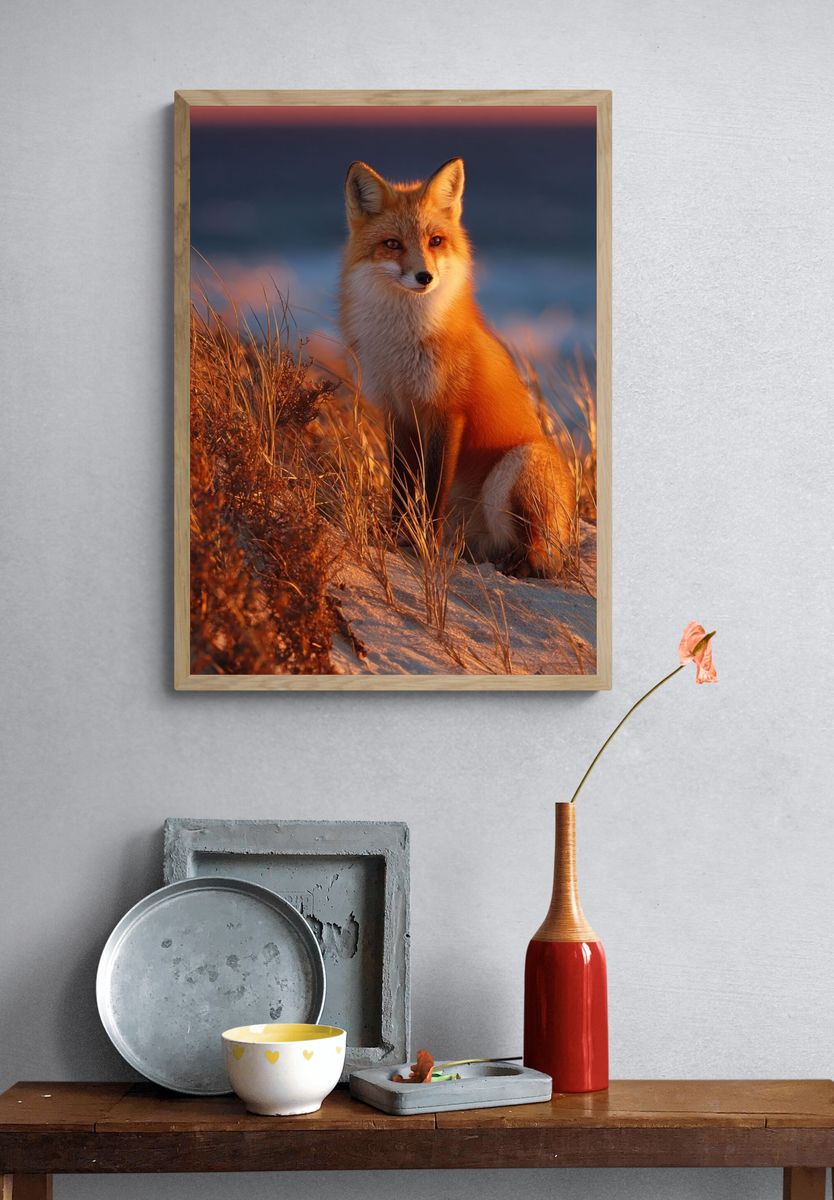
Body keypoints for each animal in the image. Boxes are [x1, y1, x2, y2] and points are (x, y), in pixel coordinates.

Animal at [339, 156, 575, 577]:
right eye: (392, 244)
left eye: (435, 241)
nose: (425, 277)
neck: (403, 343)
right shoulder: (397, 412)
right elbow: (401, 488)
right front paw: (398, 536)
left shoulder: (447, 412)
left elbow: (433, 490)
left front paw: (425, 545)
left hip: (518, 463)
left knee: (542, 560)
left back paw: (514, 564)